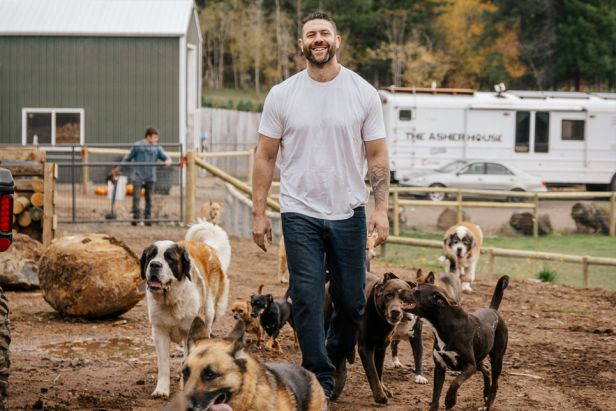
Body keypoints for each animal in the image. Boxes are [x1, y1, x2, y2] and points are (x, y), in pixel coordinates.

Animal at [140, 220, 231, 400]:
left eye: (169, 258)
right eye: (150, 257)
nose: (155, 265)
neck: (171, 300)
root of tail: (208, 246)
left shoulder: (192, 328)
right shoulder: (159, 332)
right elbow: (163, 364)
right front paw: (161, 389)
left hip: (209, 312)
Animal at [356, 272, 418, 404]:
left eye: (405, 299)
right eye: (389, 295)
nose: (395, 311)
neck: (381, 321)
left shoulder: (381, 348)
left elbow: (379, 371)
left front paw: (383, 389)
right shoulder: (365, 347)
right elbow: (373, 372)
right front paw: (379, 395)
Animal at [402, 276, 508, 411]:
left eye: (417, 291)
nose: (400, 290)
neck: (446, 327)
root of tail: (493, 309)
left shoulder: (469, 366)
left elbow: (455, 382)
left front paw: (450, 401)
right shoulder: (440, 367)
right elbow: (435, 396)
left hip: (496, 359)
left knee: (495, 384)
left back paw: (487, 405)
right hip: (478, 359)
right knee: (486, 370)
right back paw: (485, 394)